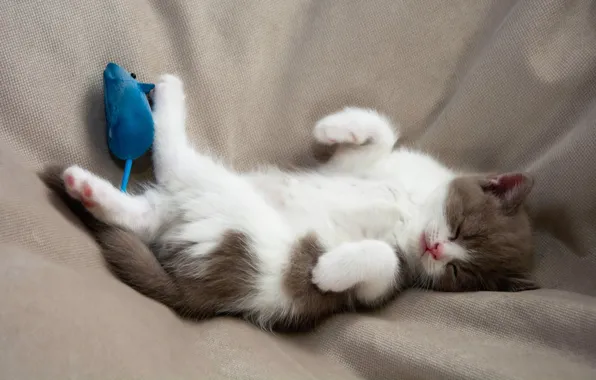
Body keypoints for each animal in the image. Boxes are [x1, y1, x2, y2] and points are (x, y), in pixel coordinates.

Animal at [47, 74, 540, 330]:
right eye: (460, 225)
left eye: (458, 273)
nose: (437, 249)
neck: (411, 208)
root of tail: (194, 293)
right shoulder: (359, 167)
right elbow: (379, 132)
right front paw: (332, 127)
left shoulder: (381, 289)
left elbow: (379, 262)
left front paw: (328, 270)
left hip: (217, 199)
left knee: (169, 168)